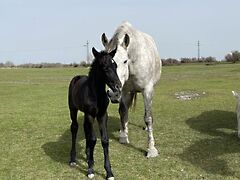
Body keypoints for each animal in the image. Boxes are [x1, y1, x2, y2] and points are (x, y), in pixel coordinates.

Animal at [67, 47, 121, 179]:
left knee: (86, 130)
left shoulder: (102, 115)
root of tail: (77, 78)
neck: (96, 94)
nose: (118, 86)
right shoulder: (90, 115)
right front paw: (90, 170)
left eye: (115, 66)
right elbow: (92, 139)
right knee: (74, 128)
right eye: (105, 67)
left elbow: (104, 140)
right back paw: (73, 159)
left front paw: (109, 172)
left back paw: (87, 156)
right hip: (73, 109)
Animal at [102, 21, 162, 158]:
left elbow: (148, 118)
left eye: (124, 61)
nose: (113, 93)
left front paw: (151, 149)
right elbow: (123, 111)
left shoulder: (147, 90)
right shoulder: (125, 91)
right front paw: (124, 136)